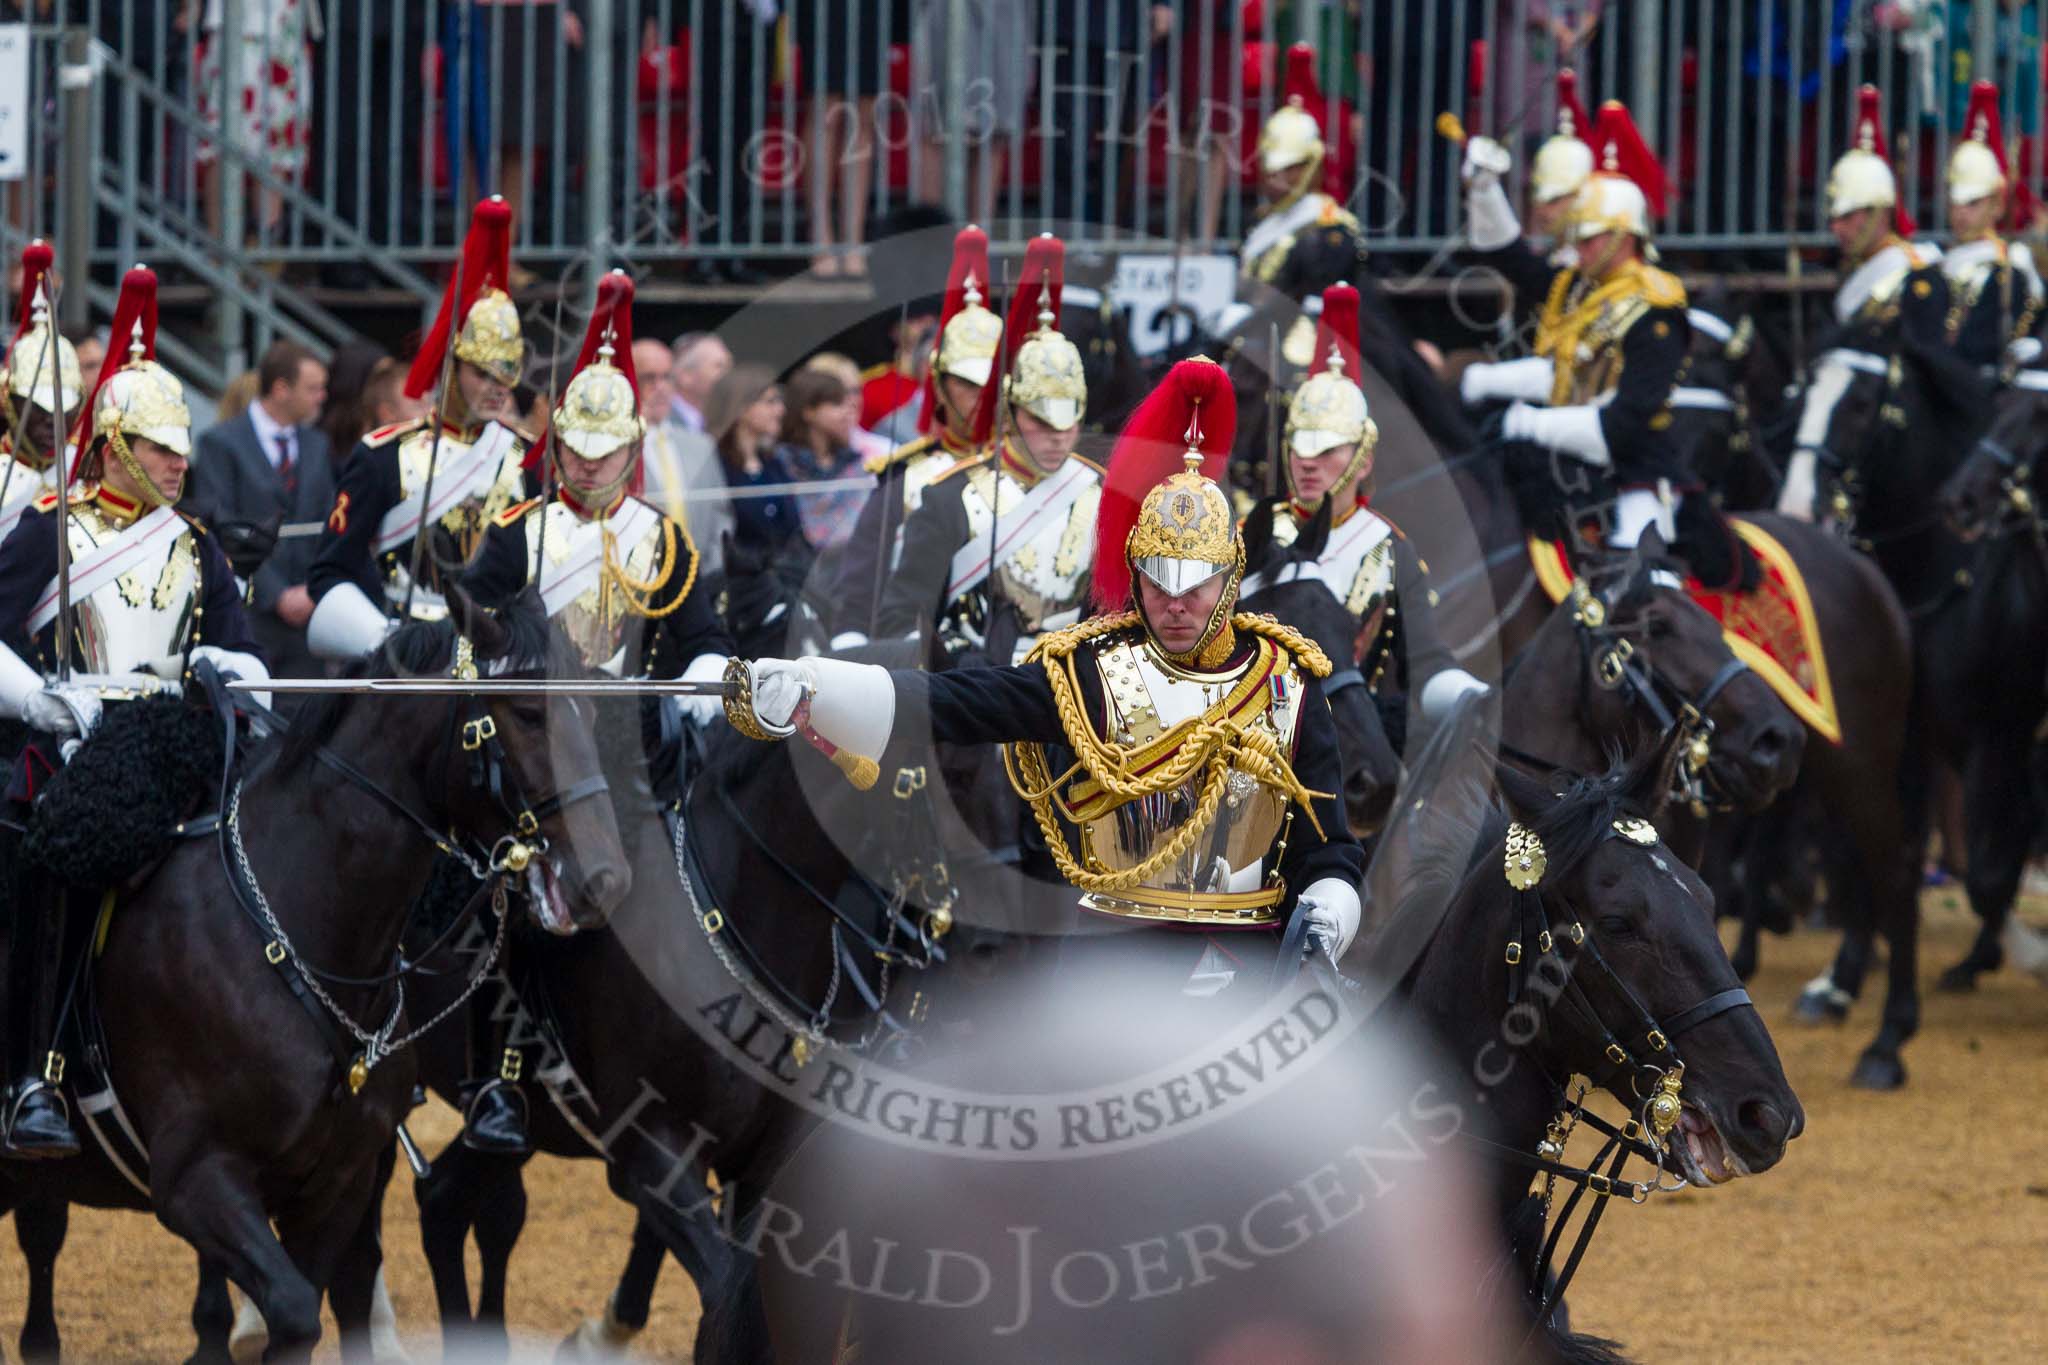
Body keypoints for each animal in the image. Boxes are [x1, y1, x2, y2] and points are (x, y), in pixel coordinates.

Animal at [0, 601, 626, 1365]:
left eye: (593, 712)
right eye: (528, 713)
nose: (603, 878)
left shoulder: (334, 1188)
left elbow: (311, 1306)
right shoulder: (197, 1178)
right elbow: (296, 1312)